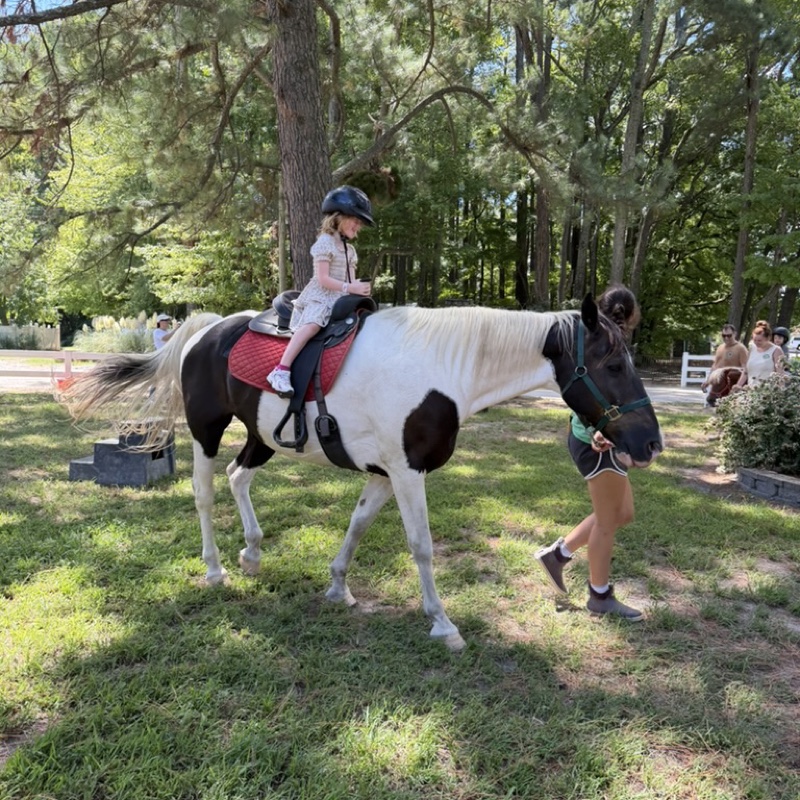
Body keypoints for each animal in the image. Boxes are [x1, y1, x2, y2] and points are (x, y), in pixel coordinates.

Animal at [59, 294, 663, 650]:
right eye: (613, 364)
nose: (650, 444)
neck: (441, 368)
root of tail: (209, 328)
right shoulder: (408, 472)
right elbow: (421, 546)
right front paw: (442, 622)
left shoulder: (383, 472)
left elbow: (357, 525)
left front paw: (338, 587)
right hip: (207, 431)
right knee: (205, 492)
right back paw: (214, 569)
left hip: (261, 438)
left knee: (237, 477)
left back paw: (252, 552)